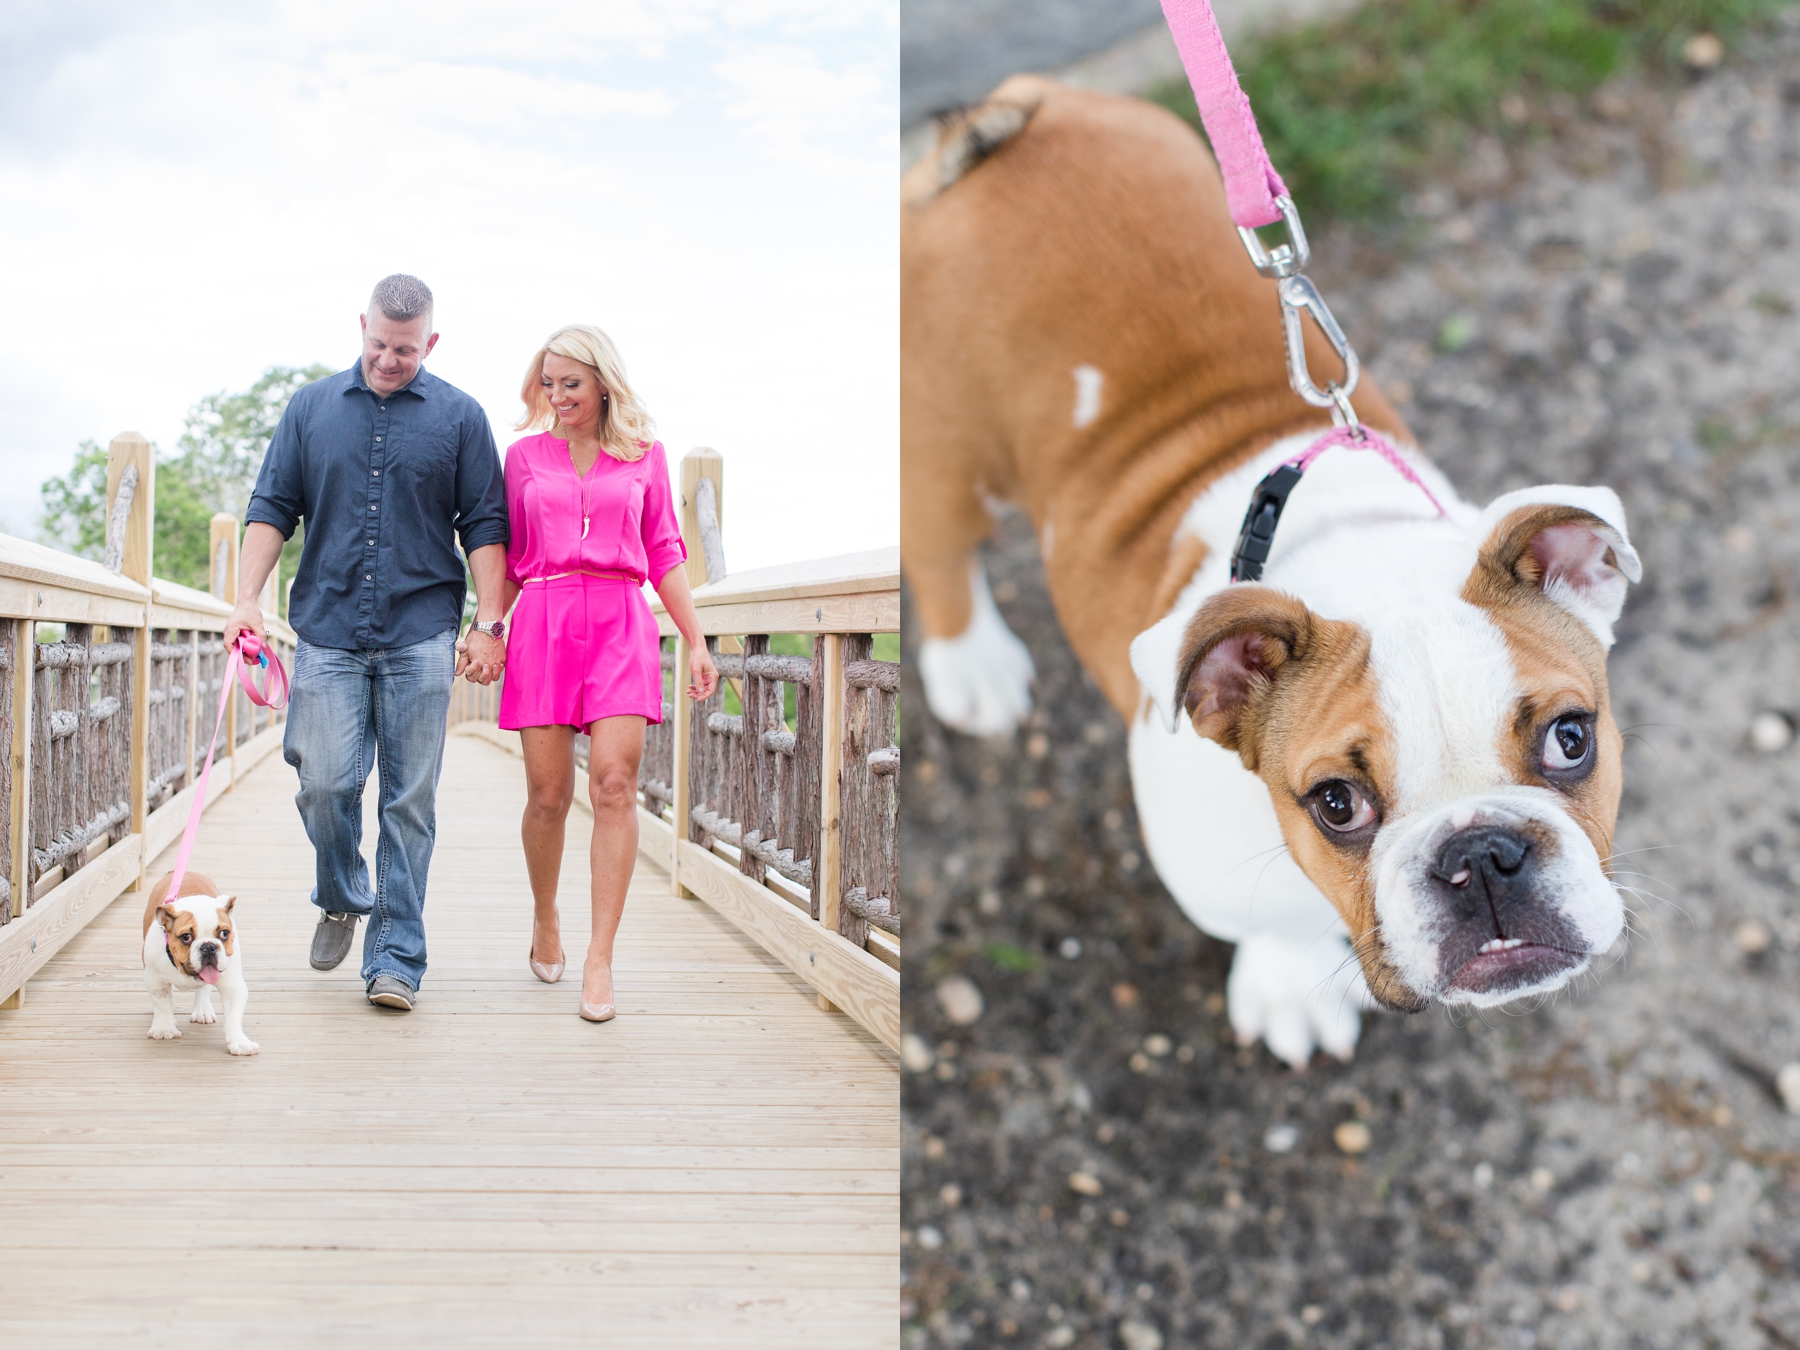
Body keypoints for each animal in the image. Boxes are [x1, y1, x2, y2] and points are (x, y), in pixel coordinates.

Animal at [907, 79, 1641, 1072]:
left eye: (1572, 738)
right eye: (1336, 804)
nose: (1483, 853)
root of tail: (1027, 106)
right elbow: (1271, 916)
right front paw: (1293, 985)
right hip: (947, 457)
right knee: (941, 550)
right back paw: (974, 665)